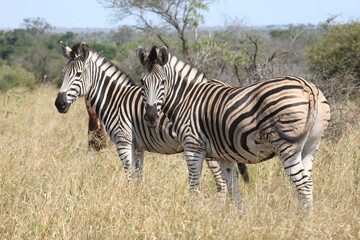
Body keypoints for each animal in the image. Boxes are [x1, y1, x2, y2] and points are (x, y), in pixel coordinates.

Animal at [54, 41, 249, 202]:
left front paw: (129, 202)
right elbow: (138, 178)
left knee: (222, 184)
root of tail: (224, 85)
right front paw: (137, 200)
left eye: (78, 74)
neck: (115, 99)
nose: (59, 104)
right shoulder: (138, 146)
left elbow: (129, 176)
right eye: (63, 73)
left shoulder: (123, 142)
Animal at [136, 45, 330, 208]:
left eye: (163, 82)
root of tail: (308, 87)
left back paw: (304, 221)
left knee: (304, 184)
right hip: (311, 146)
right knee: (307, 180)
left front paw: (192, 213)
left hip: (286, 145)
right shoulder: (224, 155)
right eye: (142, 81)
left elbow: (194, 185)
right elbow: (232, 187)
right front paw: (238, 216)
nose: (151, 117)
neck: (186, 99)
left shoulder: (192, 147)